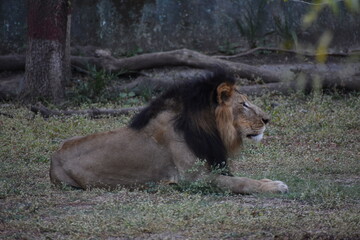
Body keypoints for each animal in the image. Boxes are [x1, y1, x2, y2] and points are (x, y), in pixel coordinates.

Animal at [50, 70, 288, 194]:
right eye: (244, 104)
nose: (267, 119)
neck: (211, 130)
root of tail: (54, 156)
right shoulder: (191, 178)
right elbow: (240, 181)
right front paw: (275, 186)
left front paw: (268, 181)